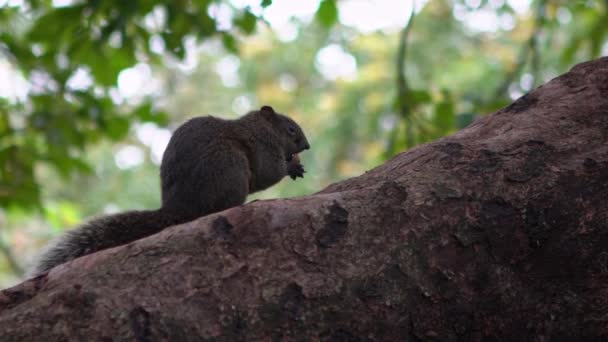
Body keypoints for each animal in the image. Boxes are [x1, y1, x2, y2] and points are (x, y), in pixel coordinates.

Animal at [28, 105, 308, 276]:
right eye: (291, 129)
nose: (306, 146)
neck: (259, 126)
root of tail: (178, 208)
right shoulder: (263, 146)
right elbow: (268, 173)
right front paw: (291, 166)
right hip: (230, 166)